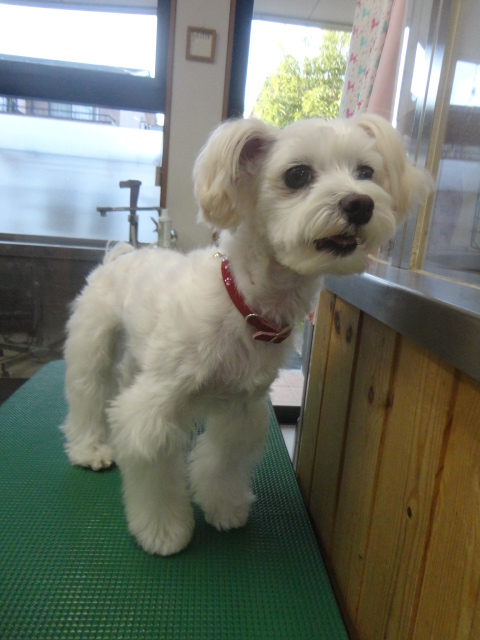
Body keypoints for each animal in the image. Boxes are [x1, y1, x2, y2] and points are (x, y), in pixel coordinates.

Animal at [61, 115, 432, 556]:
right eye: (297, 175)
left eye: (366, 173)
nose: (361, 204)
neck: (243, 303)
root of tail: (122, 253)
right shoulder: (153, 414)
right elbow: (155, 473)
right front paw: (164, 531)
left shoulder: (241, 408)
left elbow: (223, 463)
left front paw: (225, 508)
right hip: (93, 344)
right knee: (89, 393)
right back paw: (91, 448)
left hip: (140, 357)